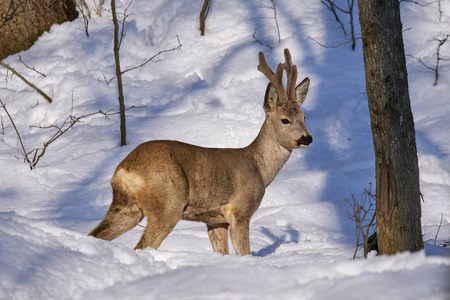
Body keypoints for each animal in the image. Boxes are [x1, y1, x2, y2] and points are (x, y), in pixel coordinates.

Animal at [88, 48, 312, 254]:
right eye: (285, 120)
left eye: (303, 116)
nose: (307, 138)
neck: (258, 167)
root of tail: (124, 169)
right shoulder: (240, 210)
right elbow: (244, 252)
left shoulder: (215, 220)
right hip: (168, 205)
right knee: (142, 245)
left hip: (126, 206)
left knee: (96, 234)